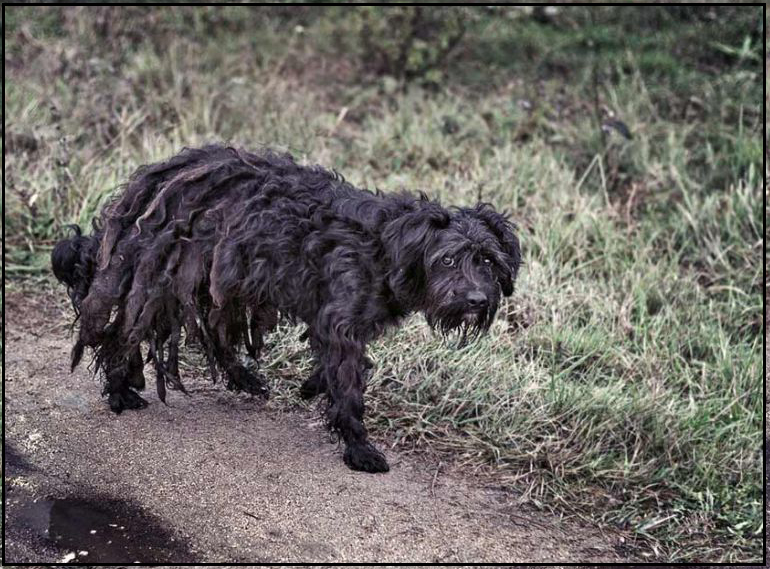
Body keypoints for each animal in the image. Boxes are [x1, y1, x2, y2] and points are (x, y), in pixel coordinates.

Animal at [52, 144, 520, 472]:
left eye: (488, 261)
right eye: (448, 260)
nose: (477, 300)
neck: (391, 248)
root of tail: (144, 186)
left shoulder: (332, 320)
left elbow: (331, 366)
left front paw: (313, 387)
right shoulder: (341, 321)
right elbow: (348, 387)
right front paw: (359, 447)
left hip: (218, 281)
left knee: (215, 336)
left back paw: (244, 379)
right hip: (163, 281)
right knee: (124, 335)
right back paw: (119, 390)